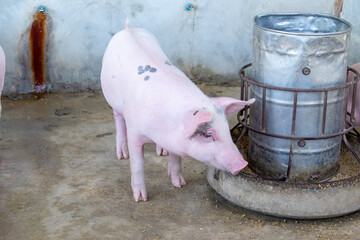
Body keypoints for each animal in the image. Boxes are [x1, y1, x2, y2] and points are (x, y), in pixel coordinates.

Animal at [100, 21, 255, 202]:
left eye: (226, 130)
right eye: (208, 134)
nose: (243, 164)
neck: (164, 129)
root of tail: (128, 29)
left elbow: (176, 158)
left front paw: (180, 184)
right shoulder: (134, 133)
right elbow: (138, 164)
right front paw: (140, 199)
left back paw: (162, 152)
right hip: (112, 99)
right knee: (118, 121)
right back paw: (122, 155)